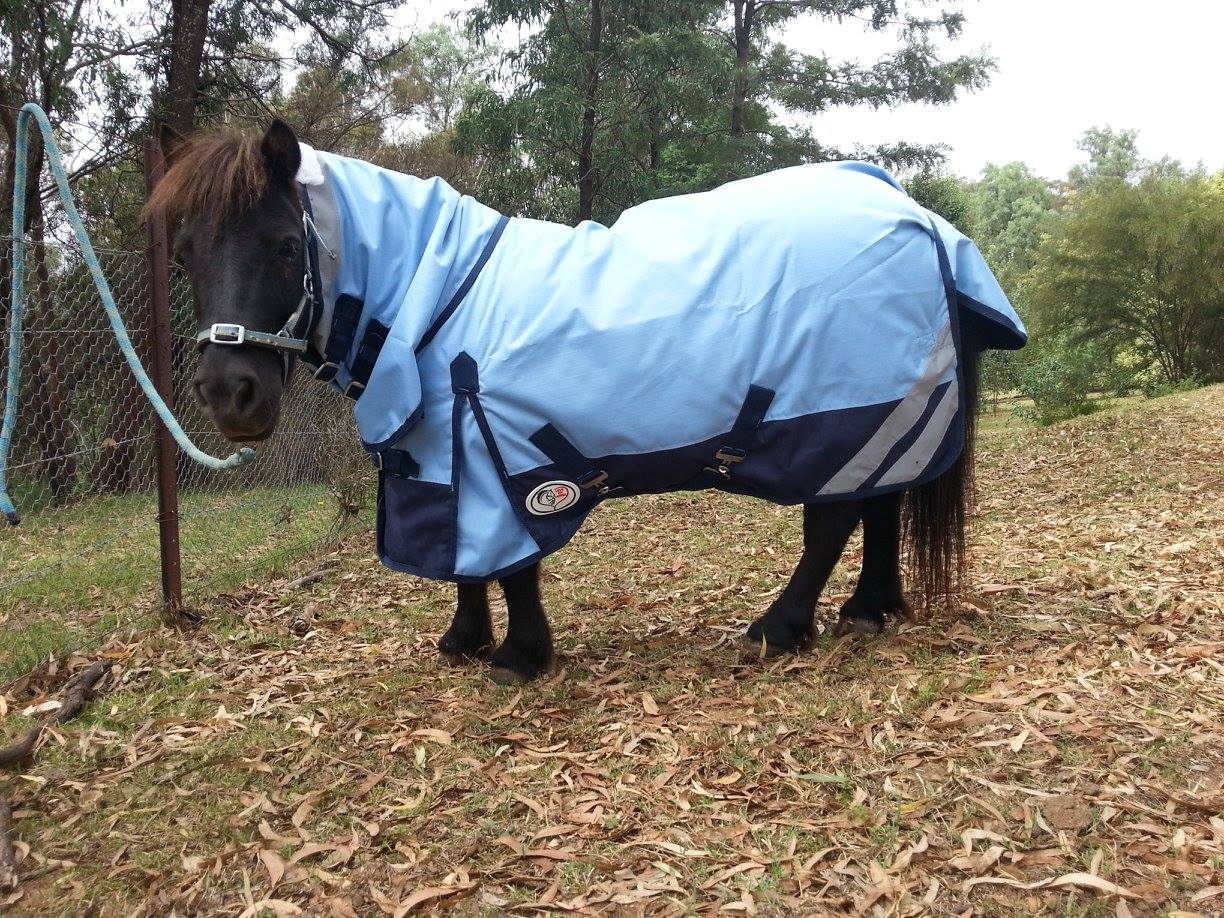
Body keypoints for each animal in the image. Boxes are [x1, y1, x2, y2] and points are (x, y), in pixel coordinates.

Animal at [146, 120, 1026, 685]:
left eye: (281, 246)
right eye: (183, 254)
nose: (230, 395)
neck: (437, 297)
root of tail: (918, 218)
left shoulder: (493, 452)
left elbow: (510, 563)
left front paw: (519, 657)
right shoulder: (439, 457)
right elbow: (465, 558)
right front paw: (465, 639)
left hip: (840, 416)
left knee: (835, 519)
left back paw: (780, 627)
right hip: (889, 412)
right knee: (879, 501)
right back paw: (869, 610)